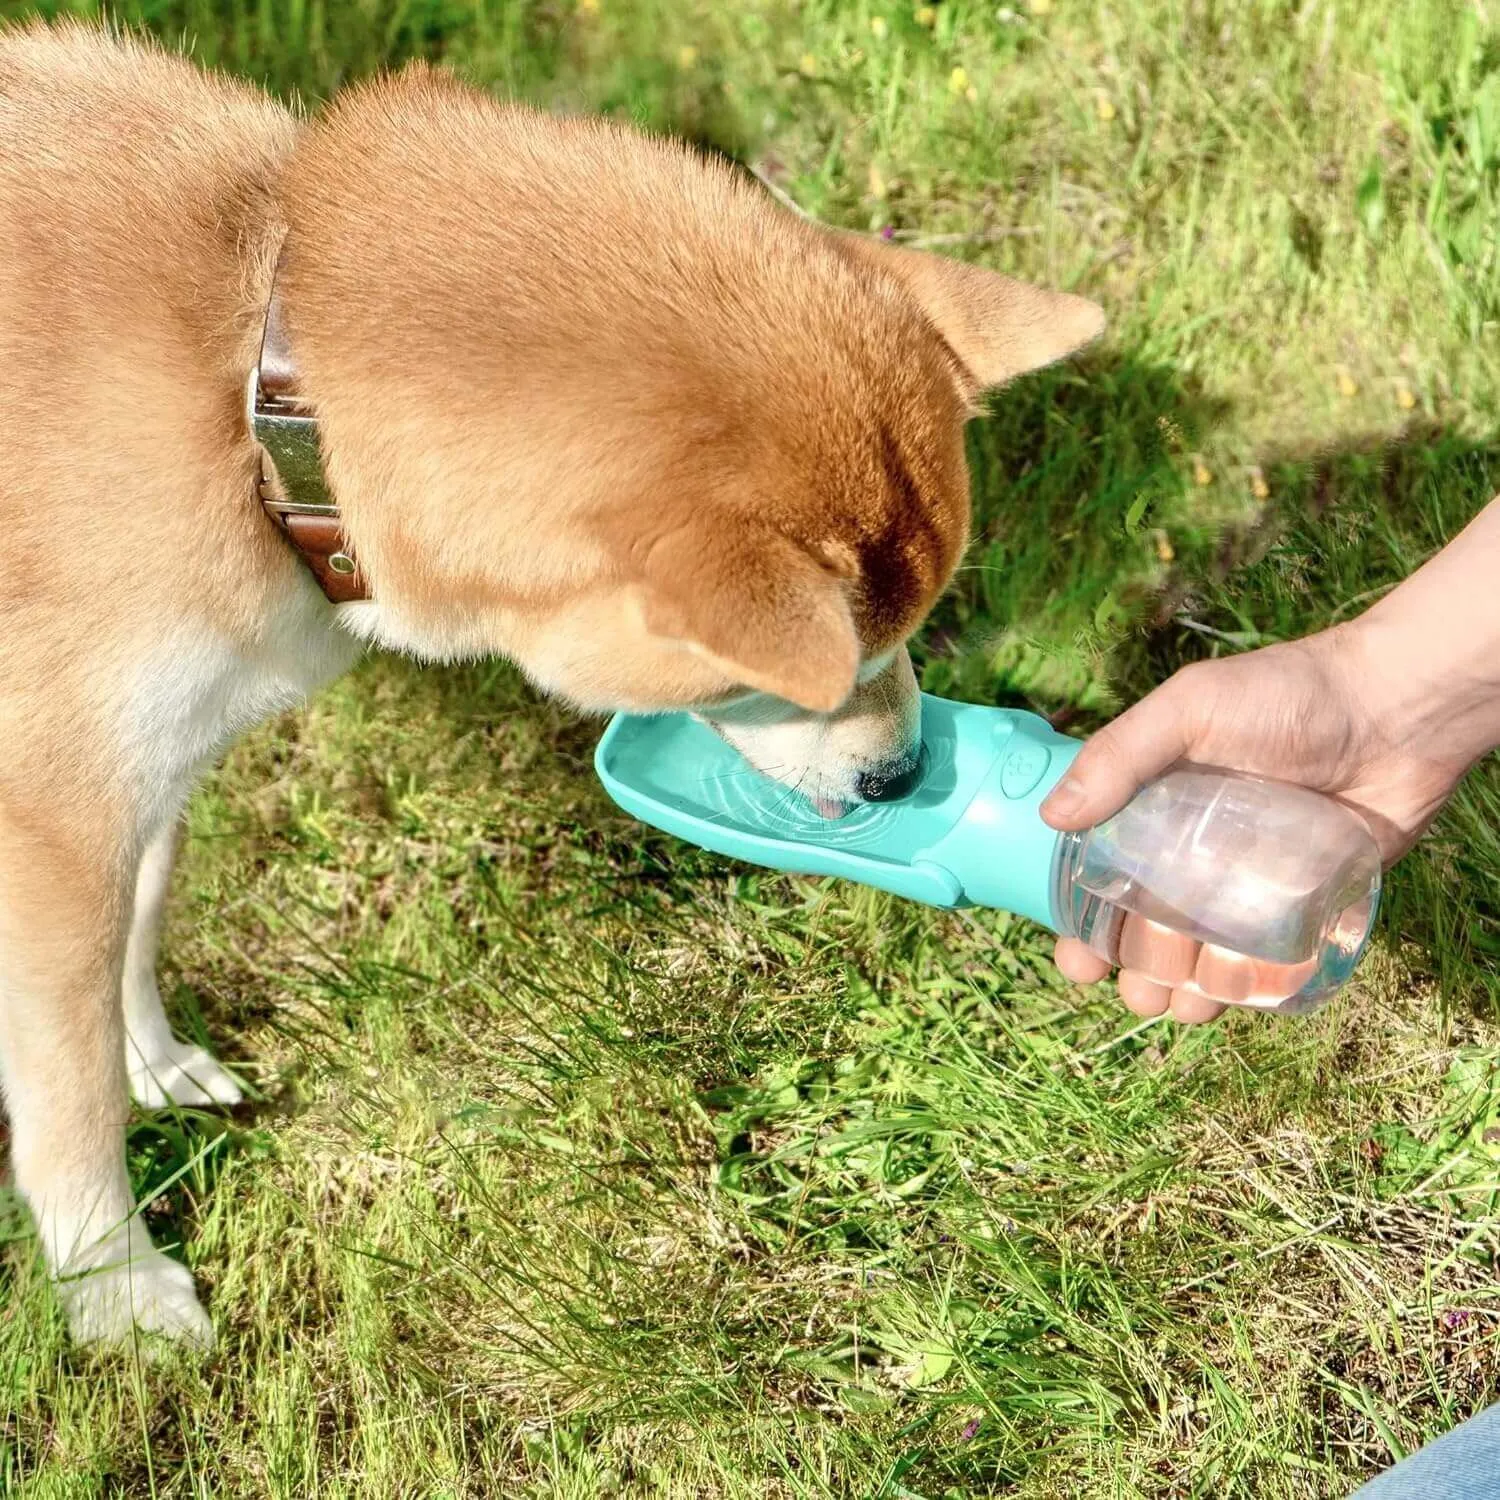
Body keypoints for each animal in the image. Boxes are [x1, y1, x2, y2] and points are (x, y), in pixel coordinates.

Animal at [0, 17, 1104, 1344]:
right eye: (776, 678)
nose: (907, 774)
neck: (254, 385)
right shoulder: (54, 814)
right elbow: (65, 1094)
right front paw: (112, 1284)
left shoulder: (142, 770)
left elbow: (137, 933)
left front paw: (151, 1062)